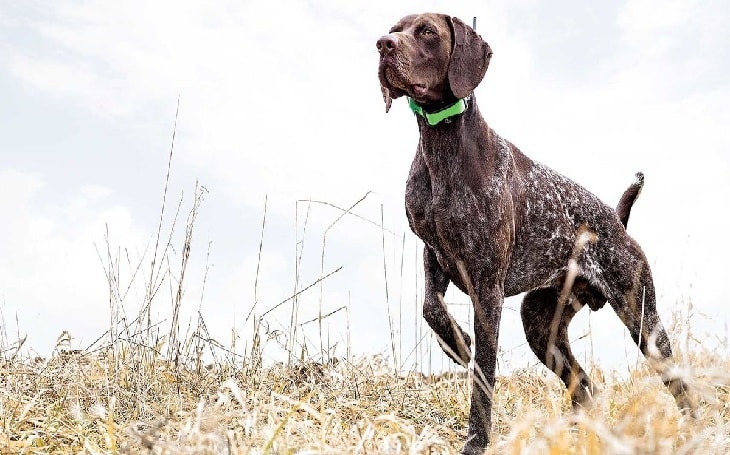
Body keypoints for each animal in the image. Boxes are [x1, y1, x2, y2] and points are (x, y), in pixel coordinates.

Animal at [378, 12, 692, 454]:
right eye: (395, 29)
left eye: (426, 32)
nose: (383, 45)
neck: (442, 146)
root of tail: (616, 221)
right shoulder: (435, 256)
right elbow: (431, 309)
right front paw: (456, 343)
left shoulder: (487, 288)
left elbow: (483, 376)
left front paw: (476, 441)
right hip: (540, 325)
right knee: (584, 386)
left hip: (642, 317)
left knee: (677, 382)